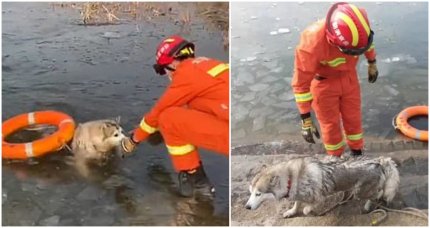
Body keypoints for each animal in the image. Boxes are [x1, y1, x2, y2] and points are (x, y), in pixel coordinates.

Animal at [245, 156, 400, 218]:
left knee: (378, 193)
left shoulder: (320, 197)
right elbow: (296, 203)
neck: (291, 178)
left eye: (258, 194)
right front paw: (291, 212)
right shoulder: (297, 194)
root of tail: (379, 160)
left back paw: (369, 205)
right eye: (251, 192)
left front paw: (308, 210)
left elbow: (307, 208)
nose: (246, 207)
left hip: (359, 192)